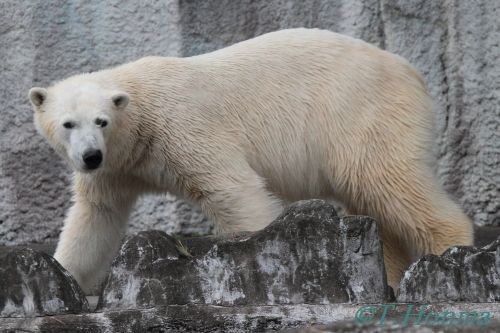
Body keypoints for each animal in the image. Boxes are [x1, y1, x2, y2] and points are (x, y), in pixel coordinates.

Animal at [28, 29, 472, 294]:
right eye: (68, 123)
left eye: (101, 120)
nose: (90, 155)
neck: (140, 120)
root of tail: (412, 73)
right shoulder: (118, 167)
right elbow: (95, 217)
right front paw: (63, 276)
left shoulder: (181, 129)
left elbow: (234, 190)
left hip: (362, 111)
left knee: (385, 177)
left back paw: (448, 254)